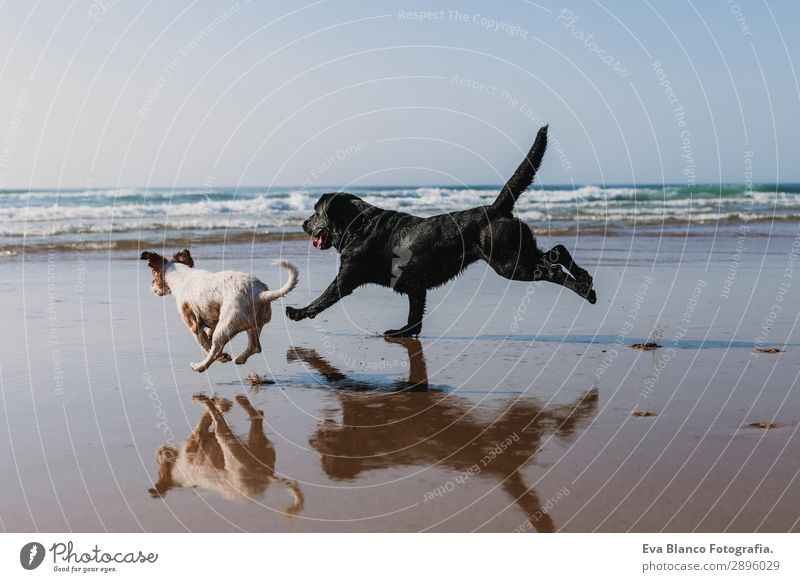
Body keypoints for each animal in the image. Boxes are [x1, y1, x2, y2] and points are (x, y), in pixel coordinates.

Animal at [141, 249, 296, 372]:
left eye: (154, 274)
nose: (152, 287)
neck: (181, 275)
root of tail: (260, 294)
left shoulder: (194, 325)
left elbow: (206, 345)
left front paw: (222, 358)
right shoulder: (213, 320)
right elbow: (209, 337)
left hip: (226, 325)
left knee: (216, 348)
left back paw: (199, 366)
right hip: (251, 325)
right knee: (255, 346)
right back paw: (239, 359)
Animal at [286, 128, 592, 338]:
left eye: (316, 212)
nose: (303, 224)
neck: (358, 226)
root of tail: (496, 208)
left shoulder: (347, 276)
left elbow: (322, 299)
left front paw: (297, 312)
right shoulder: (415, 286)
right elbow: (415, 316)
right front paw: (403, 333)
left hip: (509, 262)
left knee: (553, 269)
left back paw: (585, 290)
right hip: (518, 252)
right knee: (558, 251)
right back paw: (586, 280)